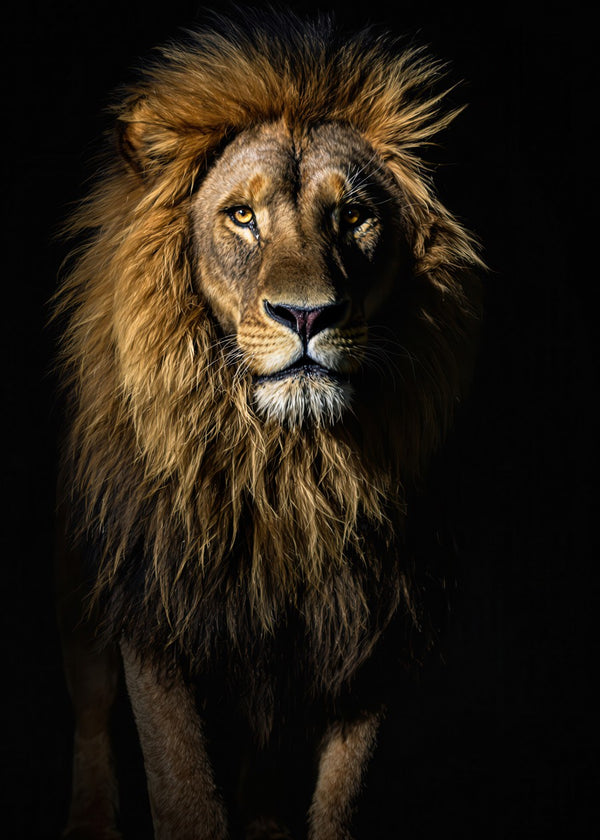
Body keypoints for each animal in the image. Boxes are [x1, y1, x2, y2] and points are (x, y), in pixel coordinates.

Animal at [54, 10, 483, 840]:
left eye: (354, 217)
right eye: (243, 216)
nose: (307, 315)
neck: (287, 467)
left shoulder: (371, 632)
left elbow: (342, 802)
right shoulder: (155, 611)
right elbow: (184, 791)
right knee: (88, 708)